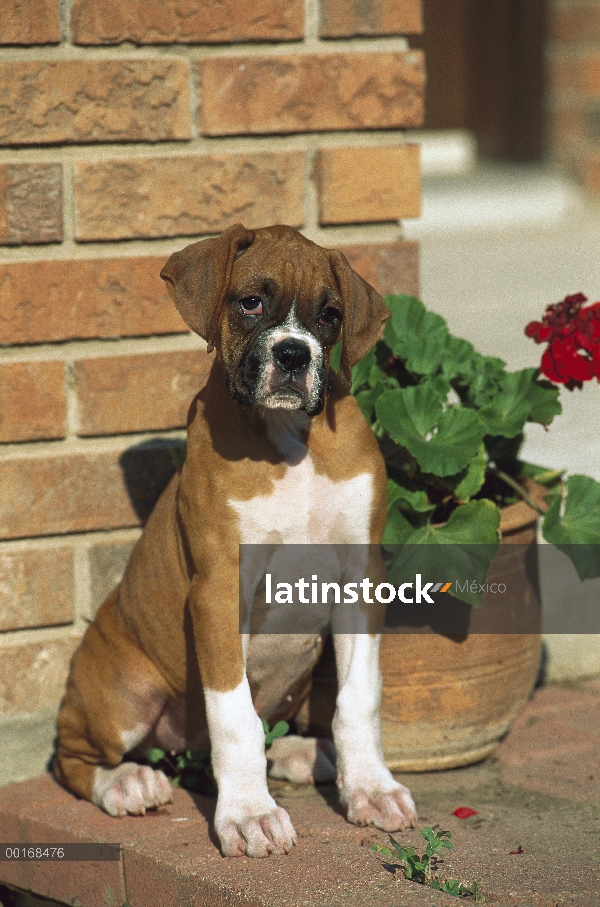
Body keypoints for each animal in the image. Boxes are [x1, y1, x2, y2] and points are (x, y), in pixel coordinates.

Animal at [54, 225, 414, 860]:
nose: (294, 354)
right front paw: (249, 814)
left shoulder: (360, 579)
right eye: (250, 303)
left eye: (330, 315)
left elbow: (359, 699)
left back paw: (304, 753)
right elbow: (233, 715)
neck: (290, 440)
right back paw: (126, 782)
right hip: (125, 693)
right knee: (73, 756)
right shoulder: (219, 591)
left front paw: (371, 788)